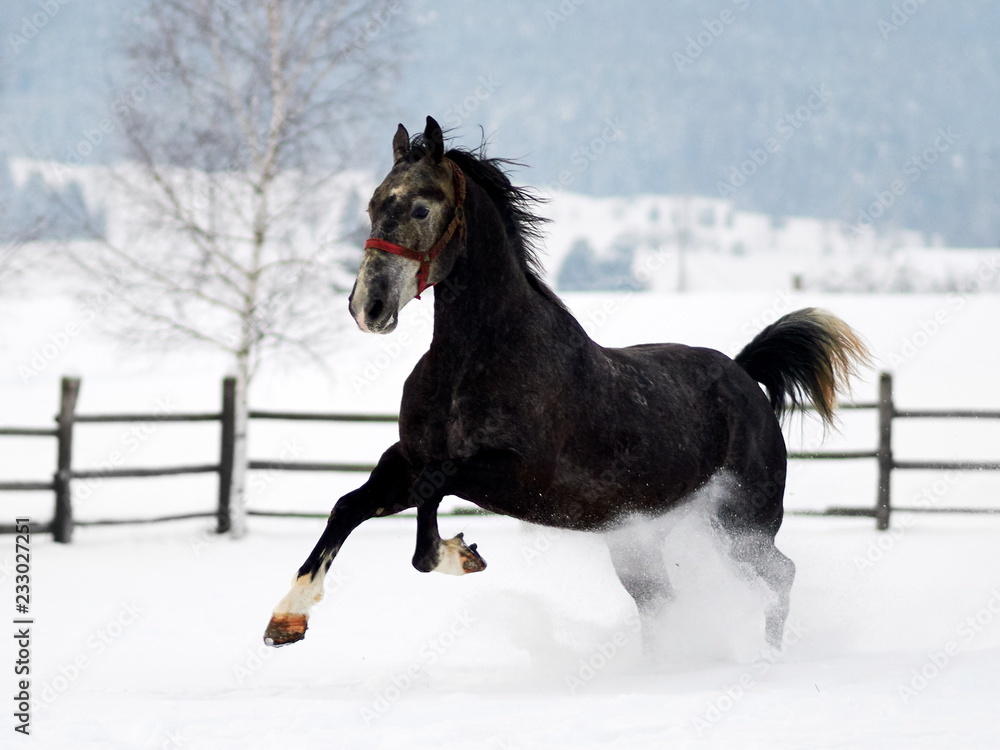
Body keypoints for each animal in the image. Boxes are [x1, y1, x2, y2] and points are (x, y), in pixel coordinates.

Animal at [266, 117, 868, 652]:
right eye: (372, 204)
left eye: (420, 206)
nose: (368, 307)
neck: (472, 362)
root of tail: (745, 377)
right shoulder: (407, 456)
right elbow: (349, 505)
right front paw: (286, 620)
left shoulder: (516, 475)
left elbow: (430, 498)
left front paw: (458, 555)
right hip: (643, 539)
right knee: (663, 600)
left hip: (740, 524)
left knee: (780, 575)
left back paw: (766, 659)